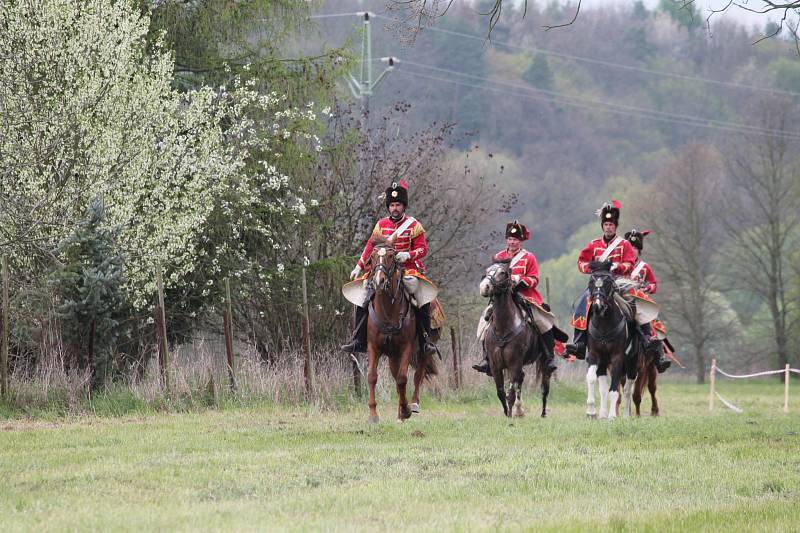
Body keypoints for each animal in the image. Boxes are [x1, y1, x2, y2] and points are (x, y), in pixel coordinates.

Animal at [364, 235, 434, 422]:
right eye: (372, 257)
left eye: (391, 256)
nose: (378, 281)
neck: (388, 312)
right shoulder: (374, 347)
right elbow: (372, 377)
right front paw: (373, 415)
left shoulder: (406, 347)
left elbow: (403, 379)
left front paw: (407, 409)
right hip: (392, 355)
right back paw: (400, 413)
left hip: (422, 350)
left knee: (417, 375)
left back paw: (413, 405)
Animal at [478, 260, 552, 418]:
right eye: (487, 270)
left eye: (502, 273)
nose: (484, 287)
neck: (504, 326)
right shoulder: (495, 365)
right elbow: (501, 392)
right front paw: (507, 413)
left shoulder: (514, 363)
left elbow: (510, 392)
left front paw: (510, 415)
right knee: (521, 380)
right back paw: (519, 410)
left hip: (543, 363)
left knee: (544, 386)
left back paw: (542, 412)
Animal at [580, 262, 644, 420]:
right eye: (591, 283)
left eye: (608, 283)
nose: (598, 306)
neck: (604, 325)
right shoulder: (595, 355)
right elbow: (592, 379)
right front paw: (591, 411)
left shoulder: (617, 358)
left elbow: (614, 388)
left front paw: (612, 416)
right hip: (604, 363)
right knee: (604, 388)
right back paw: (603, 413)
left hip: (632, 363)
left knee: (627, 389)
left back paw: (626, 416)